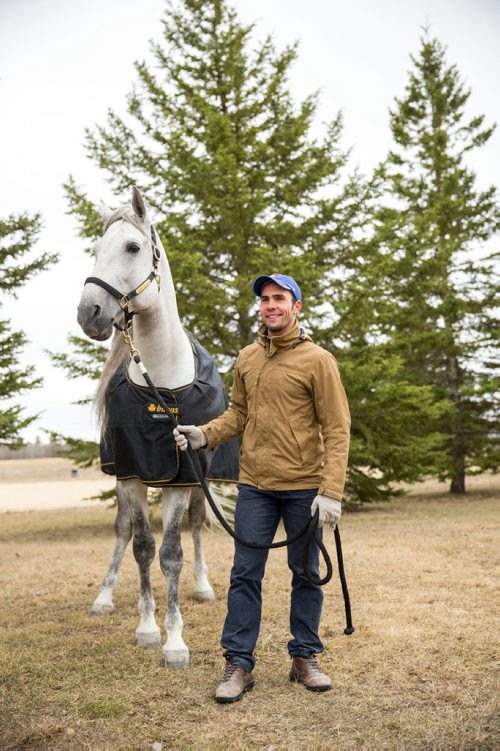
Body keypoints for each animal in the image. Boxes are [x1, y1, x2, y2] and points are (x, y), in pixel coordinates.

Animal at [75, 185, 237, 668]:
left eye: (132, 247)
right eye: (95, 250)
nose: (89, 313)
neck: (160, 385)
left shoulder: (181, 475)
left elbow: (172, 553)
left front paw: (175, 640)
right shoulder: (130, 472)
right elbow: (143, 547)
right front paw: (148, 628)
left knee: (198, 524)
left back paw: (203, 586)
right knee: (124, 530)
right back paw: (105, 597)